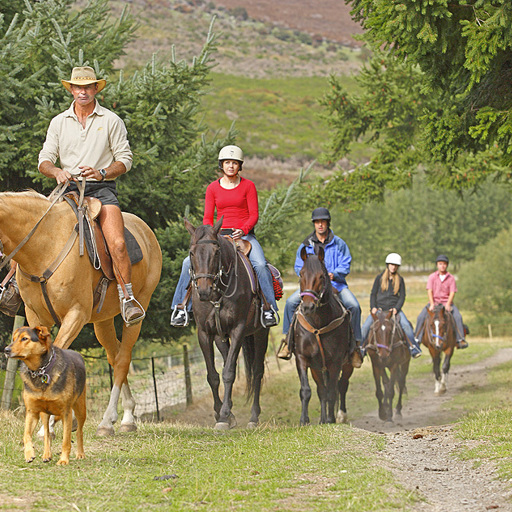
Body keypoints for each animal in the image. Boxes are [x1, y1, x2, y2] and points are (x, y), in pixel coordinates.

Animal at [0, 190, 162, 434]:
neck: (43, 247)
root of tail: (146, 230)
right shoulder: (36, 316)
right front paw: (50, 425)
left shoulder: (76, 315)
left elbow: (55, 360)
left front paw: (49, 425)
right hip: (102, 321)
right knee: (114, 357)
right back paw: (126, 415)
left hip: (137, 312)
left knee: (123, 360)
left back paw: (110, 421)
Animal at [4, 326, 86, 466]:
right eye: (13, 339)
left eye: (24, 338)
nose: (6, 350)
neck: (40, 371)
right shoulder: (32, 411)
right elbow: (26, 434)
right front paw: (29, 454)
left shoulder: (66, 412)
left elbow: (66, 440)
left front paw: (63, 460)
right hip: (44, 414)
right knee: (47, 434)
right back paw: (46, 455)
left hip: (80, 409)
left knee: (79, 432)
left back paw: (80, 454)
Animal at [185, 218, 270, 430]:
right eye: (192, 252)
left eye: (216, 252)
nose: (204, 290)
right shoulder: (205, 333)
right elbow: (213, 375)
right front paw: (221, 413)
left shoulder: (237, 330)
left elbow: (229, 373)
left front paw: (223, 416)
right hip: (220, 337)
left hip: (260, 333)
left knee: (257, 372)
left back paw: (253, 417)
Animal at [290, 246, 354, 426]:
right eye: (301, 274)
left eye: (321, 276)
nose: (308, 307)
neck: (318, 324)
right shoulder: (302, 358)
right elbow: (307, 390)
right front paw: (304, 420)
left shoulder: (335, 362)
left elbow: (333, 391)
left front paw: (331, 420)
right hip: (317, 368)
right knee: (321, 390)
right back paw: (323, 419)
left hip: (347, 365)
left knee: (342, 385)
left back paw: (339, 415)